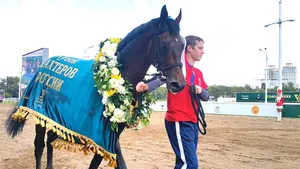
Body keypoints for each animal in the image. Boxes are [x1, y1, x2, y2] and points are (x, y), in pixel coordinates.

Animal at [5, 5, 186, 169]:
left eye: (183, 45)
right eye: (164, 44)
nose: (178, 84)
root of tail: (43, 66)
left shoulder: (111, 136)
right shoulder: (102, 136)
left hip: (54, 117)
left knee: (50, 140)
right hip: (40, 114)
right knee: (39, 146)